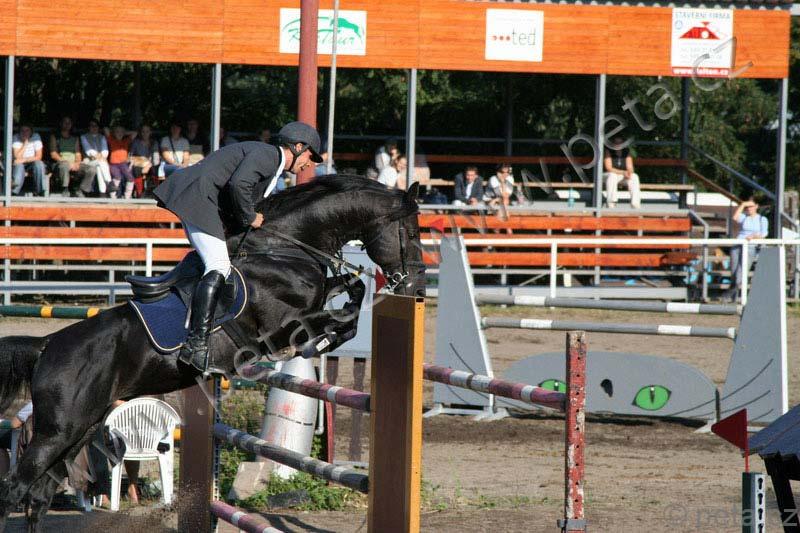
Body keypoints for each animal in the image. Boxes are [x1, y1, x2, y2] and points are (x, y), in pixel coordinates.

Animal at [0, 175, 426, 531]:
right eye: (411, 232)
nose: (417, 288)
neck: (283, 248)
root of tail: (48, 345)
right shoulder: (281, 326)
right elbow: (344, 307)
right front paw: (322, 340)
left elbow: (352, 289)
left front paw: (330, 335)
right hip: (57, 432)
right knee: (15, 490)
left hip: (79, 431)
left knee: (39, 497)